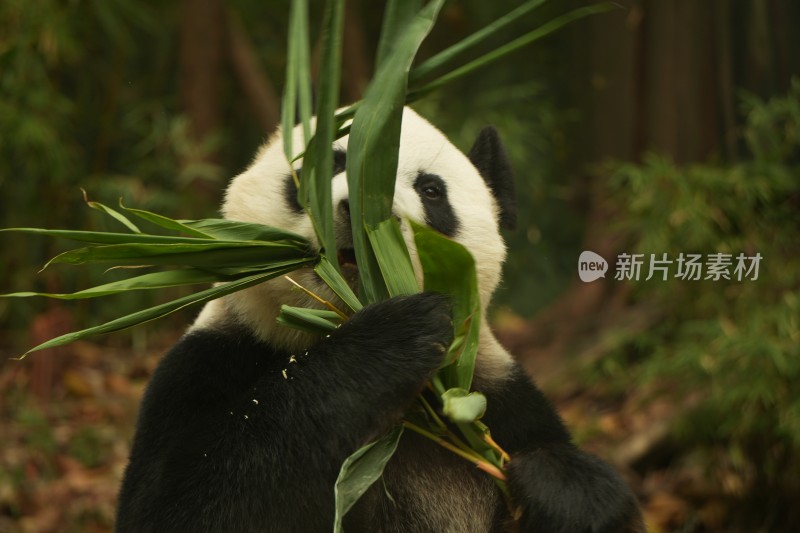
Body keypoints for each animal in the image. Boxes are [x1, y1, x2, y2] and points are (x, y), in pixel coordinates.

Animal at [117, 109, 644, 532]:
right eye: (327, 165)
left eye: (431, 190)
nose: (363, 211)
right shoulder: (210, 363)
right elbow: (183, 503)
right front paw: (391, 341)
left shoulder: (497, 397)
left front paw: (558, 488)